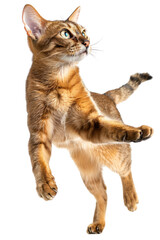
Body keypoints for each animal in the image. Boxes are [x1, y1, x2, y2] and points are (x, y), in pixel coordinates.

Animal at [22, 4, 152, 234]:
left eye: (84, 31)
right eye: (65, 33)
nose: (87, 42)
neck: (59, 80)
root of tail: (106, 95)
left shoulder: (90, 123)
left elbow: (118, 129)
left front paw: (135, 130)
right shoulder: (38, 132)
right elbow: (38, 160)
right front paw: (45, 184)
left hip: (113, 153)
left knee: (126, 168)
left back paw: (130, 198)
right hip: (88, 171)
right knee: (103, 192)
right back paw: (98, 223)